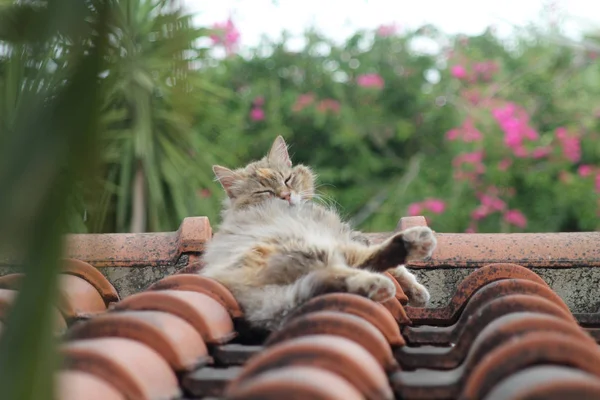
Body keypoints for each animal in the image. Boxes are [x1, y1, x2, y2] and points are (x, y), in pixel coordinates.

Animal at [202, 136, 436, 330]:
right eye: (265, 192)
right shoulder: (347, 234)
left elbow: (401, 272)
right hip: (309, 247)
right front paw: (416, 289)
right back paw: (408, 250)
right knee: (351, 266)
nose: (286, 196)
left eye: (287, 180)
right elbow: (398, 269)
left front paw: (416, 291)